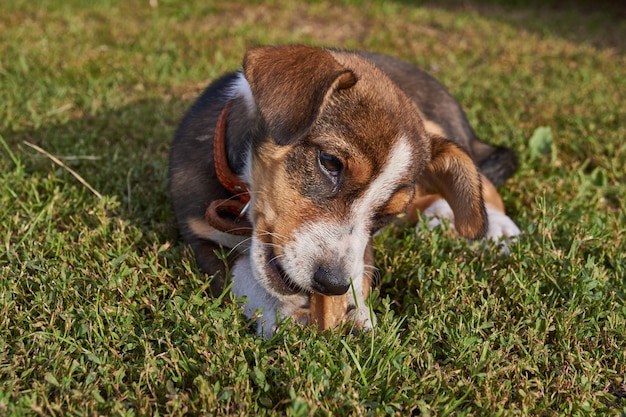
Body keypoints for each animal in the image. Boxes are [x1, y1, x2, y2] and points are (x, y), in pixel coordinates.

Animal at [168, 45, 520, 338]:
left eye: (385, 216)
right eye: (330, 162)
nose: (332, 285)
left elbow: (360, 268)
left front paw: (355, 310)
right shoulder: (198, 236)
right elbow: (240, 275)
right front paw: (280, 309)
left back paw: (495, 226)